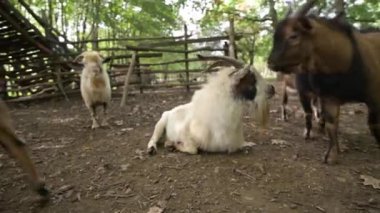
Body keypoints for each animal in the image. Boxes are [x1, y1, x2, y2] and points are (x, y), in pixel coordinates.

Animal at [268, 0, 380, 165]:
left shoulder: (374, 97)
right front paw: (331, 154)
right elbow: (330, 123)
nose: (270, 63)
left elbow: (373, 125)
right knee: (286, 103)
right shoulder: (327, 97)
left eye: (293, 35)